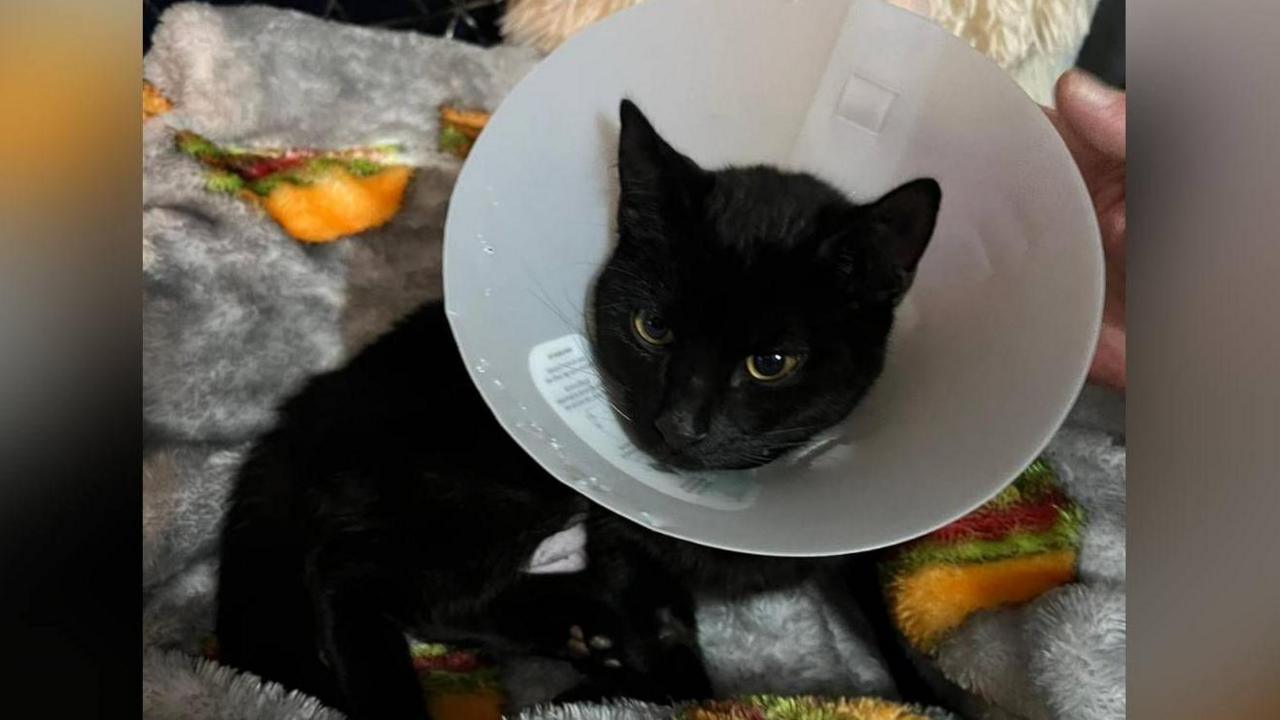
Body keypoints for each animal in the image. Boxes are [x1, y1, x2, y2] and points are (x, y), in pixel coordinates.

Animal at [217, 99, 942, 717]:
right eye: (654, 328)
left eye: (772, 362)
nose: (679, 425)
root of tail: (308, 405)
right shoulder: (614, 531)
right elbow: (674, 653)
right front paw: (628, 693)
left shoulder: (861, 547)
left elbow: (889, 620)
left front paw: (935, 696)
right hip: (489, 494)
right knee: (350, 574)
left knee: (434, 599)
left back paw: (575, 628)